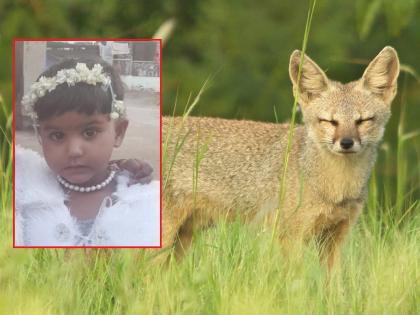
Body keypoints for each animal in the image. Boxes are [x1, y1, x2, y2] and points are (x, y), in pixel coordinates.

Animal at [162, 45, 400, 270]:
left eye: (363, 121)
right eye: (329, 121)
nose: (347, 143)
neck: (335, 189)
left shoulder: (334, 239)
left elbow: (334, 284)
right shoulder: (291, 237)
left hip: (181, 242)